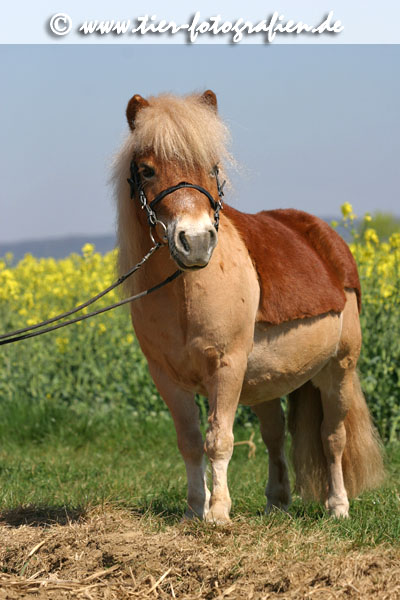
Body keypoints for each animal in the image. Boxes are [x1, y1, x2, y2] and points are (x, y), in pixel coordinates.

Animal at [113, 91, 384, 524]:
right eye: (147, 170)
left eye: (212, 167)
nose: (196, 242)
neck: (186, 293)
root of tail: (326, 239)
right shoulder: (167, 378)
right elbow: (190, 441)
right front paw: (194, 509)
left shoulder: (226, 367)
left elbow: (219, 439)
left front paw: (219, 512)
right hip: (267, 380)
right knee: (275, 436)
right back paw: (276, 503)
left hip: (338, 369)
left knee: (333, 436)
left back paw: (337, 506)